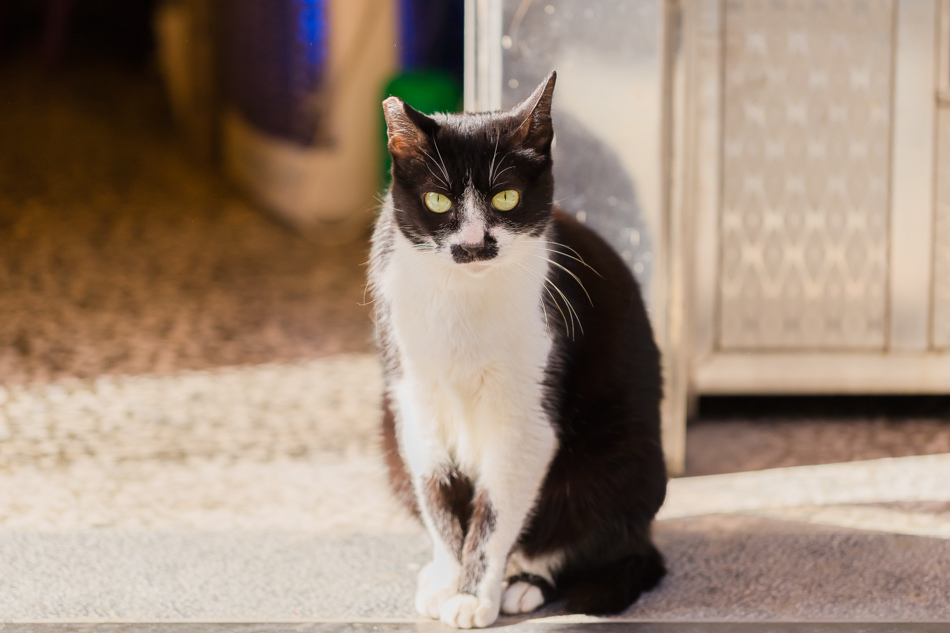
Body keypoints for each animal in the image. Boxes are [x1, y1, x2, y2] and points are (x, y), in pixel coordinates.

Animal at [368, 70, 664, 628]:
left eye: (505, 198)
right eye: (438, 202)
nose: (473, 244)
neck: (463, 297)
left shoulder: (527, 410)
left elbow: (496, 509)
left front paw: (471, 594)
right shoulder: (414, 397)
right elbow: (438, 496)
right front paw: (450, 579)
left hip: (621, 458)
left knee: (595, 535)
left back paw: (525, 581)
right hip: (388, 432)